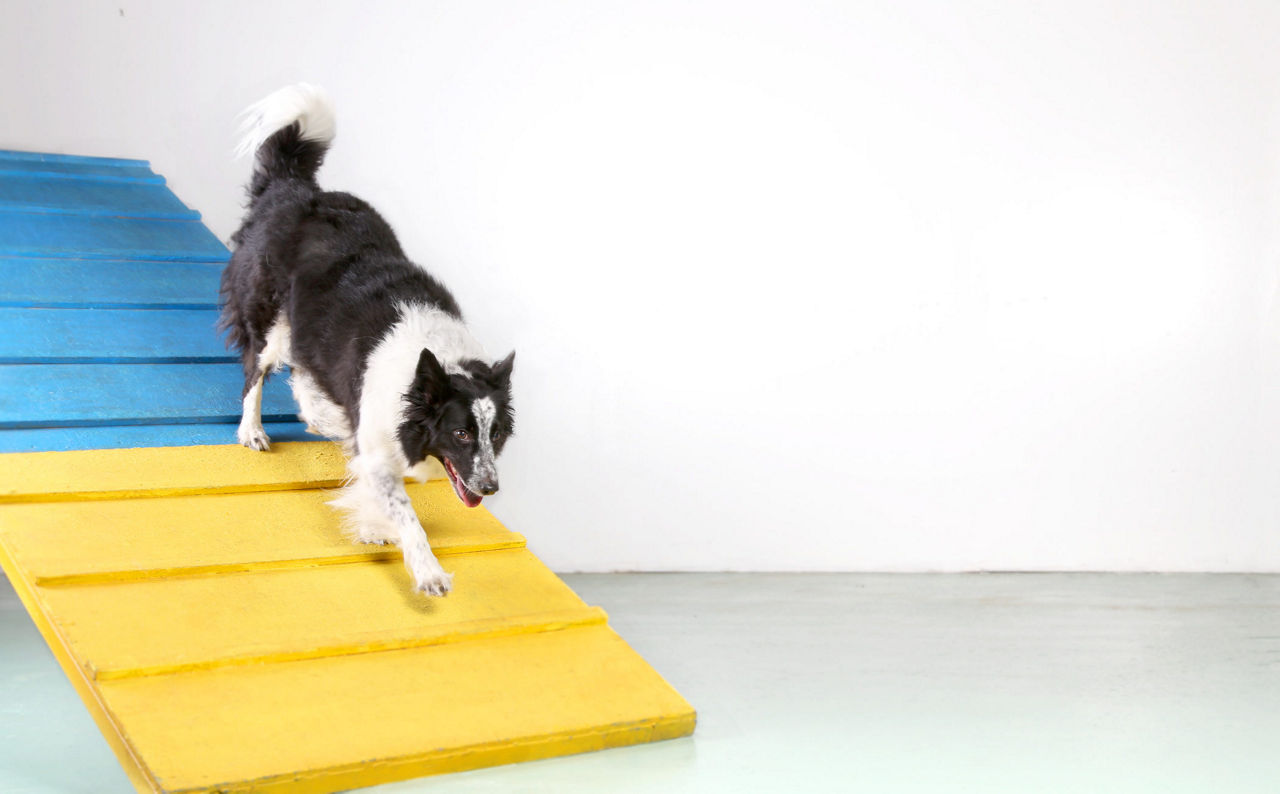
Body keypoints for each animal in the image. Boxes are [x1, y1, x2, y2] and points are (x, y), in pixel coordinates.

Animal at [220, 85, 514, 594]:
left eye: (494, 434)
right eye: (460, 433)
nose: (489, 488)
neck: (429, 367)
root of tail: (293, 189)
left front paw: (374, 528)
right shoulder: (378, 449)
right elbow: (406, 514)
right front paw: (428, 572)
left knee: (303, 372)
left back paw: (320, 418)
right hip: (268, 317)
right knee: (255, 371)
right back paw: (252, 431)